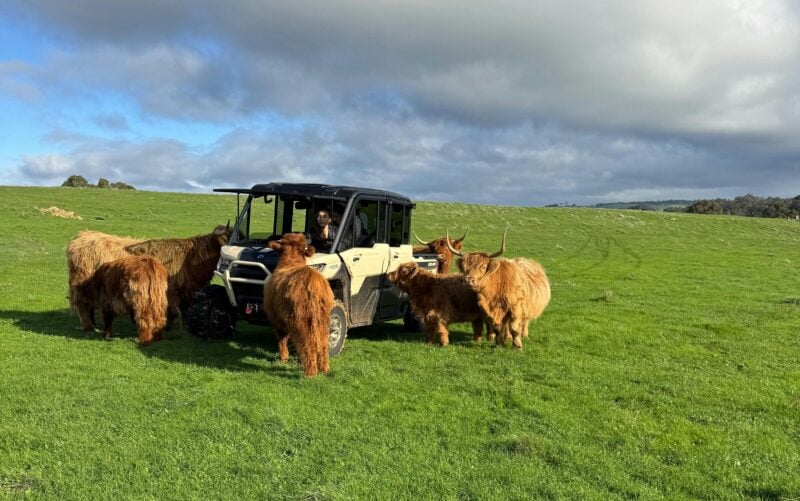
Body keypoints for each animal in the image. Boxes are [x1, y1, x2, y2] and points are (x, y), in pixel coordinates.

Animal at [67, 224, 231, 330]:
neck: (191, 258)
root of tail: (81, 236)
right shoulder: (173, 291)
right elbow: (173, 311)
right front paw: (166, 326)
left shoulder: (187, 291)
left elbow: (183, 311)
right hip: (81, 284)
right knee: (82, 305)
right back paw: (89, 326)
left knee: (89, 304)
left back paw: (94, 324)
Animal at [263, 233, 335, 377]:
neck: (291, 262)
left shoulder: (277, 318)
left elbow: (282, 338)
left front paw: (283, 358)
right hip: (323, 319)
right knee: (323, 343)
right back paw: (324, 369)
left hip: (302, 319)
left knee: (308, 343)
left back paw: (310, 373)